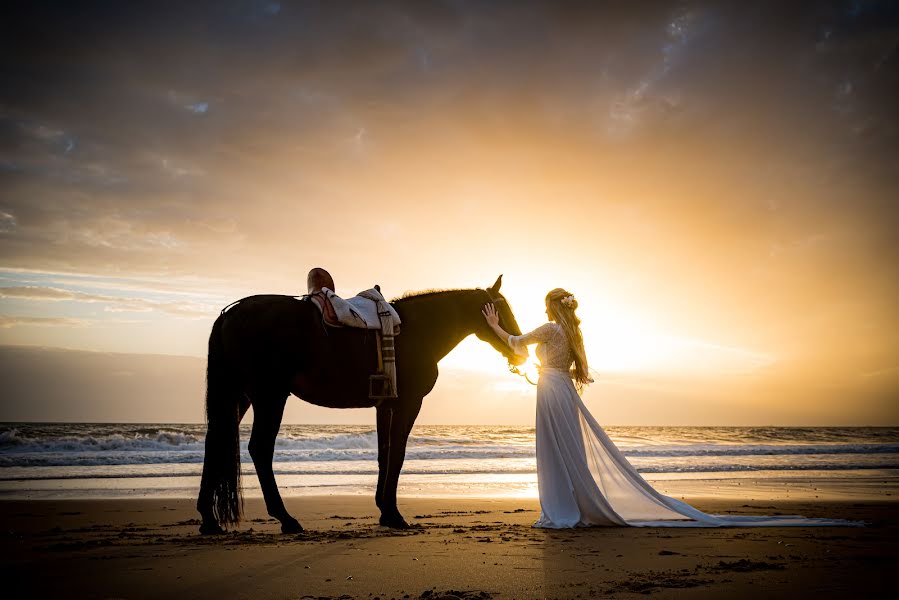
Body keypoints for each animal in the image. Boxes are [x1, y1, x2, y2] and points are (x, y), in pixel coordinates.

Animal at [195, 274, 520, 532]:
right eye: (500, 309)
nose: (521, 351)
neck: (416, 331)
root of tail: (230, 314)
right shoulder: (408, 404)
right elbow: (397, 454)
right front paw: (393, 514)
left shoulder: (385, 406)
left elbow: (384, 454)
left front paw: (384, 511)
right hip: (269, 397)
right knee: (260, 449)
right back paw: (285, 518)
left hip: (240, 397)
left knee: (215, 441)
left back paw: (209, 520)